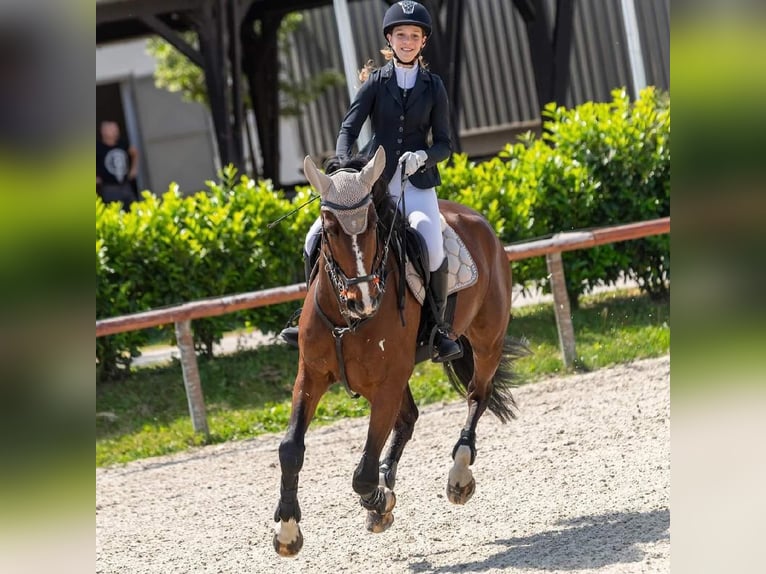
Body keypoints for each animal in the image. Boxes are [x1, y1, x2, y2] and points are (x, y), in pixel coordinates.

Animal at [272, 148, 528, 560]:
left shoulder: (388, 382)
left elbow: (362, 472)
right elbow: (291, 448)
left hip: (487, 340)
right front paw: (287, 530)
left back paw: (458, 476)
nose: (361, 300)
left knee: (478, 395)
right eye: (330, 228)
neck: (348, 321)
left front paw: (376, 500)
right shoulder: (311, 374)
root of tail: (476, 220)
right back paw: (389, 483)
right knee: (409, 418)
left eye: (373, 227)